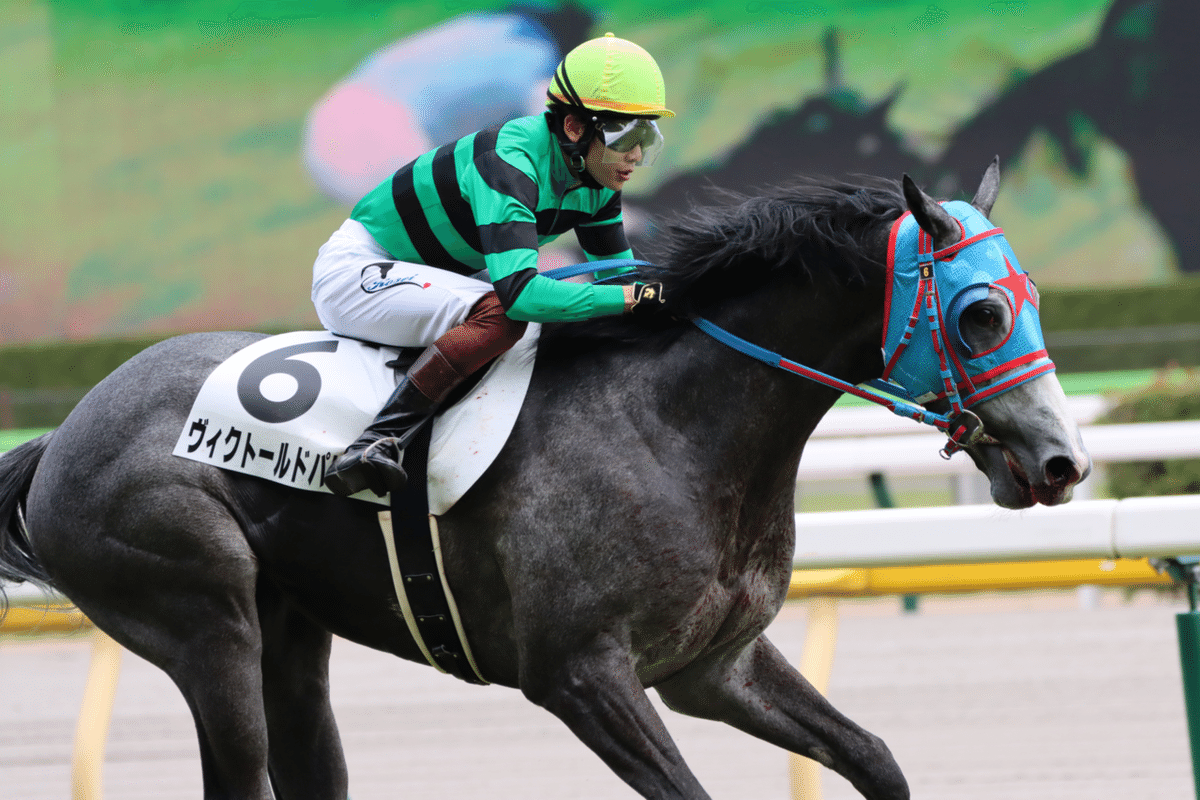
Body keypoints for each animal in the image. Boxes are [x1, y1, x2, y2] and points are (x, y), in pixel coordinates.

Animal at [0, 162, 1089, 800]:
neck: (679, 429)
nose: (1062, 461)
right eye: (983, 313)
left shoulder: (715, 665)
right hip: (199, 616)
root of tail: (63, 433)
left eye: (1031, 299)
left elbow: (876, 759)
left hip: (290, 632)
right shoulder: (579, 675)